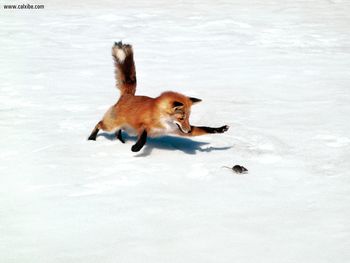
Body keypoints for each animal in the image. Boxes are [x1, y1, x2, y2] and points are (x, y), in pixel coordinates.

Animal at [87, 41, 230, 153]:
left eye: (188, 118)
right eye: (181, 118)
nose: (189, 130)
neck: (163, 119)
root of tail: (127, 95)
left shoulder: (177, 130)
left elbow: (205, 128)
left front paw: (220, 129)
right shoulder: (143, 125)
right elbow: (144, 137)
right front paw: (136, 148)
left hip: (121, 126)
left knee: (117, 132)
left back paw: (121, 141)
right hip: (111, 124)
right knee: (99, 124)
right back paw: (91, 138)